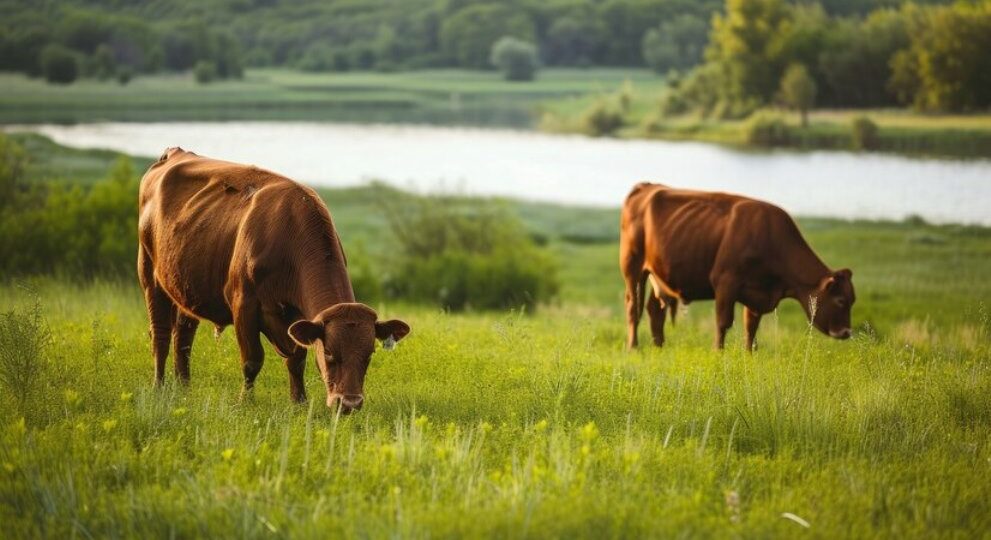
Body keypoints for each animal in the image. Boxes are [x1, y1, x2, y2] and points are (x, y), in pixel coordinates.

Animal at [138, 148, 408, 414]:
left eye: (369, 354)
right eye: (330, 352)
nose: (349, 403)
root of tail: (176, 153)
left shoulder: (298, 318)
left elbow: (297, 360)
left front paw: (299, 401)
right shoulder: (243, 304)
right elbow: (252, 359)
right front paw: (245, 402)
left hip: (185, 288)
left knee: (183, 337)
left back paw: (184, 388)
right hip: (150, 275)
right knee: (161, 334)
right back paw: (159, 387)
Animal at [620, 181, 852, 350]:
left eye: (852, 300)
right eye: (840, 300)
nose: (847, 332)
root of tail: (647, 187)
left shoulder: (757, 293)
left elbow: (751, 326)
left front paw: (749, 353)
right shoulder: (725, 283)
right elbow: (723, 322)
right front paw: (718, 352)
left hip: (659, 275)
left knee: (654, 309)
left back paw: (659, 346)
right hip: (633, 268)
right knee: (633, 307)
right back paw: (634, 347)